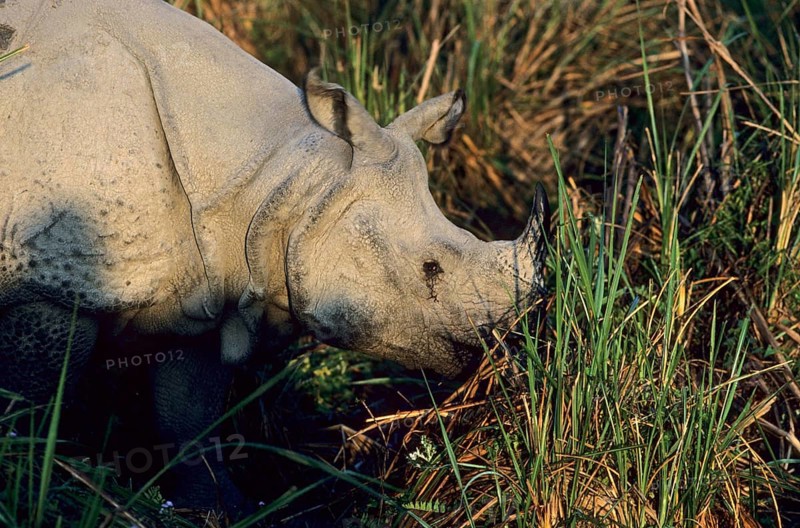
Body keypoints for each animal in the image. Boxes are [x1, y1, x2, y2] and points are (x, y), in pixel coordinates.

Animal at [0, 0, 549, 515]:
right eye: (430, 268)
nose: (510, 341)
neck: (276, 178)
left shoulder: (206, 292)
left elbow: (190, 415)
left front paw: (220, 507)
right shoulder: (45, 289)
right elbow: (31, 401)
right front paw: (31, 481)